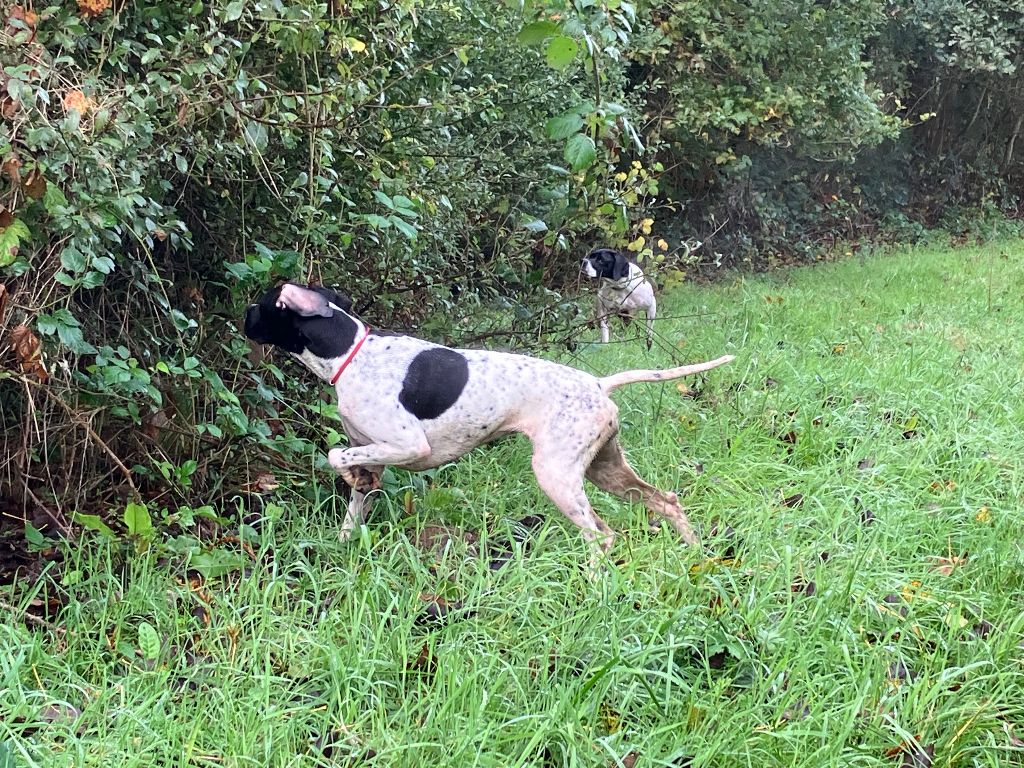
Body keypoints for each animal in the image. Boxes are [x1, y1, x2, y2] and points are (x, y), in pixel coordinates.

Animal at [244, 283, 733, 561]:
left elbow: (334, 454)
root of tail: (598, 384)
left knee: (602, 536)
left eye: (263, 305)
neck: (350, 353)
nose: (243, 315)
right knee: (666, 501)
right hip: (605, 469)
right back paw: (697, 557)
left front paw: (345, 472)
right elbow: (354, 502)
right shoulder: (377, 454)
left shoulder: (409, 446)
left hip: (557, 476)